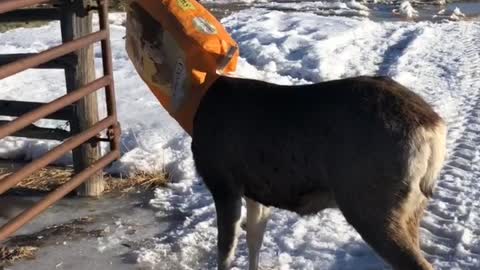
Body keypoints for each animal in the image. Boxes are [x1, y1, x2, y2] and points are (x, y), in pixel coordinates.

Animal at [191, 74, 446, 270]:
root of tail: (433, 127)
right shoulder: (255, 190)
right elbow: (254, 238)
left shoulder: (222, 180)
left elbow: (226, 251)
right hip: (411, 205)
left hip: (371, 204)